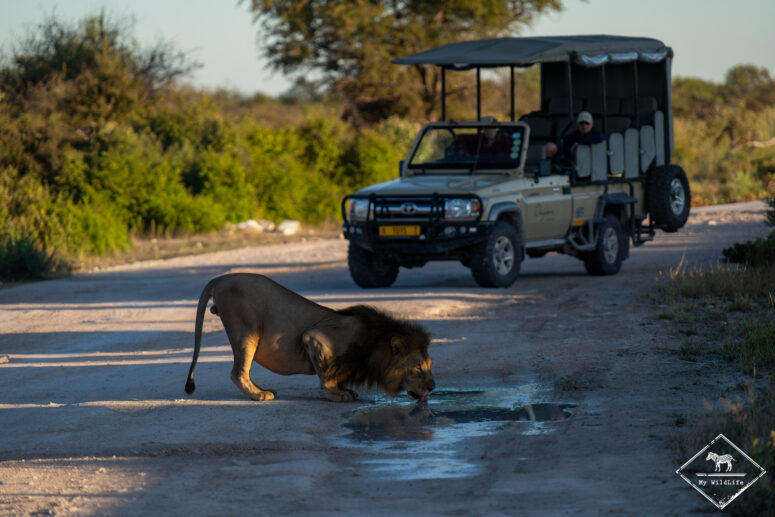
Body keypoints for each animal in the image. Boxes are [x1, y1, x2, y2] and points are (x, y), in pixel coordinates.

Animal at [185, 273, 435, 402]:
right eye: (418, 367)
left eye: (429, 364)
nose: (433, 388)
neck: (374, 343)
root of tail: (220, 279)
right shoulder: (314, 338)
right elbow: (327, 374)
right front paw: (337, 394)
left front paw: (346, 390)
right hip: (246, 330)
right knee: (237, 372)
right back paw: (258, 394)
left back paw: (262, 388)